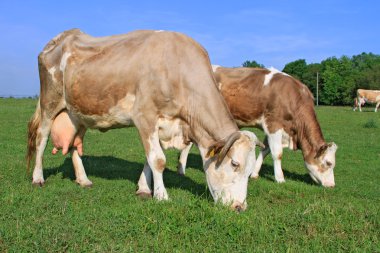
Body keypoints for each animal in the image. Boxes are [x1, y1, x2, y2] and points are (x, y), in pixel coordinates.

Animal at [27, 28, 264, 211]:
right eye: (235, 163)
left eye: (250, 168)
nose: (240, 207)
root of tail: (63, 36)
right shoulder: (144, 115)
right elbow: (158, 160)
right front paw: (161, 195)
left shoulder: (159, 124)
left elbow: (149, 159)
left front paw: (143, 188)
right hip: (49, 102)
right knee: (41, 139)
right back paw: (37, 177)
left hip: (79, 112)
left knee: (76, 143)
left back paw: (83, 179)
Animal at [177, 66, 336, 187]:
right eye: (328, 163)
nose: (332, 185)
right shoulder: (274, 124)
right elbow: (277, 153)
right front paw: (280, 178)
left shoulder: (269, 128)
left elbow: (265, 150)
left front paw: (254, 174)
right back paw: (181, 170)